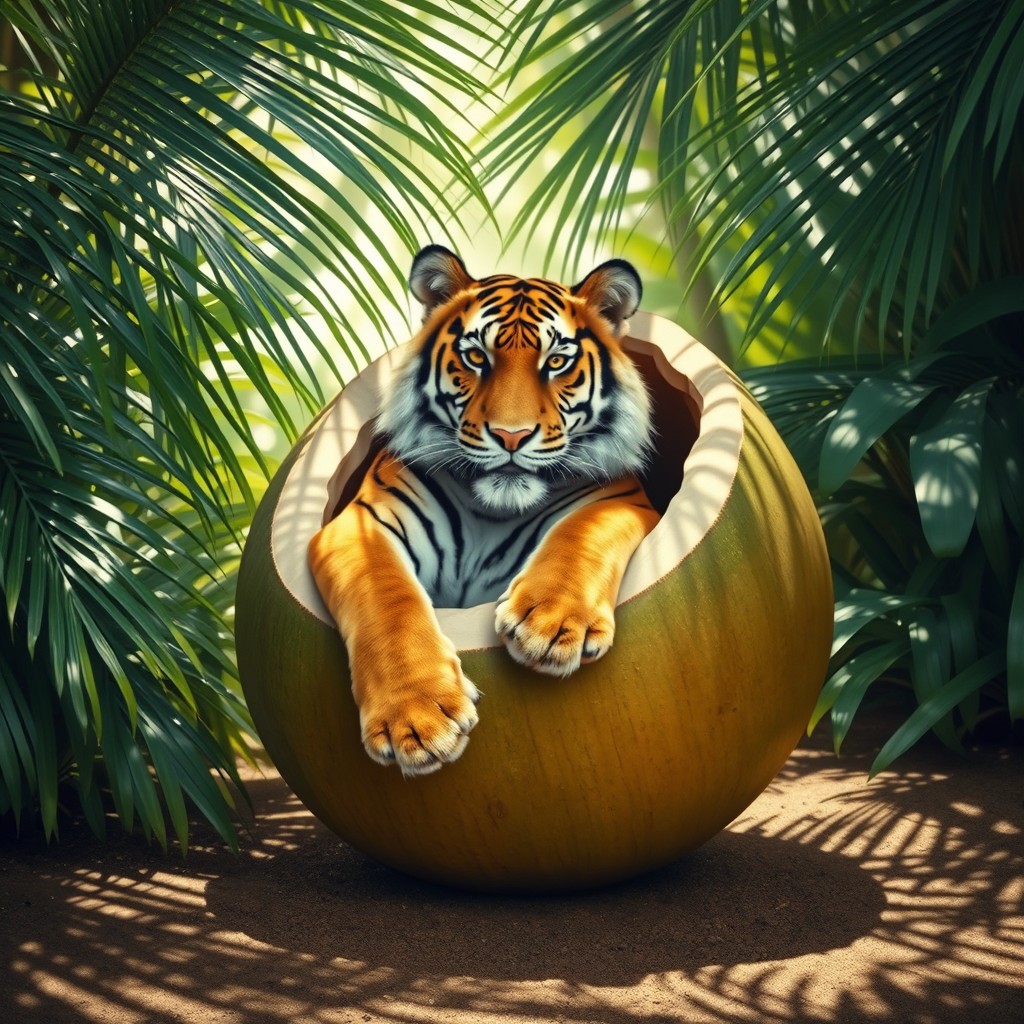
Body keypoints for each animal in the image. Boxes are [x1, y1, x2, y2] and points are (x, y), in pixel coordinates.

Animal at [308, 245, 661, 776]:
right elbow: (386, 597)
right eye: (476, 357)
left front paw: (551, 625)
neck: (491, 513)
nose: (511, 436)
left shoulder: (618, 498)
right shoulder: (361, 523)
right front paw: (417, 721)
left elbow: (583, 532)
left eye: (556, 361)